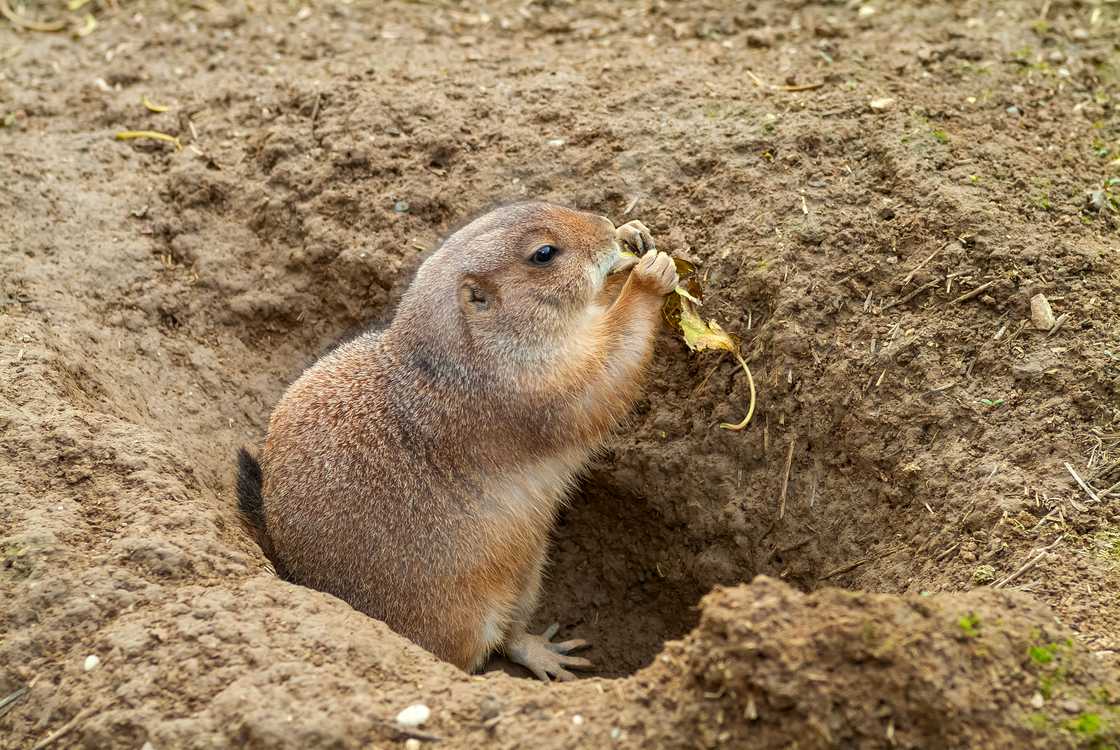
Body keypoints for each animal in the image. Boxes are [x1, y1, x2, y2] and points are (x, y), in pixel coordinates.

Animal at [237, 201, 678, 681]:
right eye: (544, 253)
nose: (604, 228)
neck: (457, 352)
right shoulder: (528, 385)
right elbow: (601, 372)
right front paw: (650, 274)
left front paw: (633, 233)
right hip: (461, 616)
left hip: (527, 572)